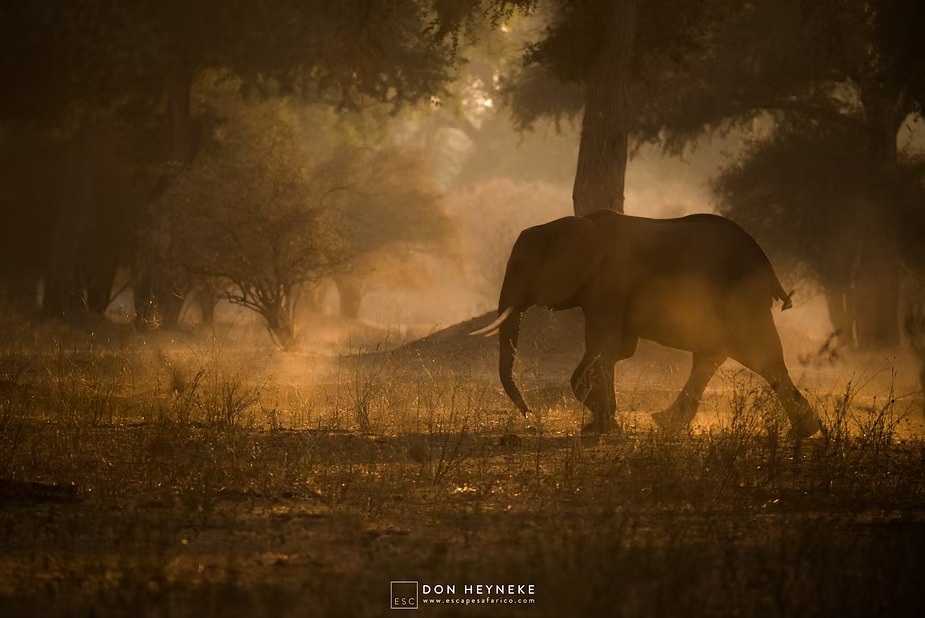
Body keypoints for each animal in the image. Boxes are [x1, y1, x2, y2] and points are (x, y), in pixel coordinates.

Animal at [471, 209, 821, 440]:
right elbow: (615, 350)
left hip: (740, 298)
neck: (566, 224)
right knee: (715, 357)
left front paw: (602, 426)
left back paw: (803, 432)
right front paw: (601, 424)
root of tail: (768, 264)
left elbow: (603, 346)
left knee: (760, 357)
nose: (529, 415)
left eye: (519, 266)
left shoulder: (609, 284)